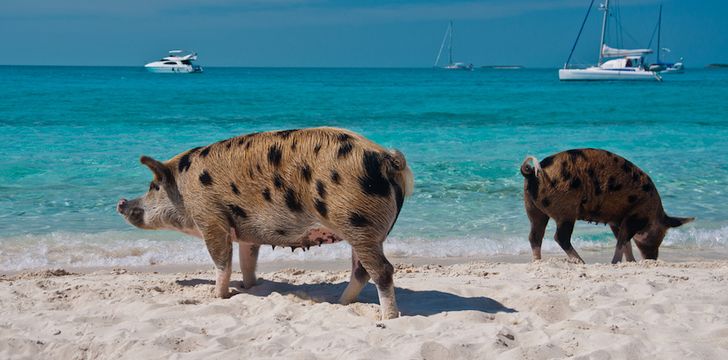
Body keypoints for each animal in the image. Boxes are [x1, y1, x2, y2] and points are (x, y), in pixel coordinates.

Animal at [120, 127, 416, 320]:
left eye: (153, 186)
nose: (121, 202)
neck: (184, 186)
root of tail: (389, 160)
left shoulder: (211, 218)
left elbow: (222, 262)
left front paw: (218, 296)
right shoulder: (246, 231)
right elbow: (247, 260)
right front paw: (249, 287)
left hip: (358, 222)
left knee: (382, 270)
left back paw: (387, 318)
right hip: (362, 230)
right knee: (361, 271)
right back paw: (340, 303)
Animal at [516, 149, 692, 264]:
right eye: (660, 236)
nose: (653, 259)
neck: (653, 212)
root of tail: (533, 173)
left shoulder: (616, 220)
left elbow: (624, 241)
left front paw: (631, 262)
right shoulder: (634, 215)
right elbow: (623, 240)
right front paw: (616, 263)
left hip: (533, 209)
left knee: (535, 236)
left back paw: (538, 262)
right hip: (565, 210)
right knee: (560, 237)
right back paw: (581, 262)